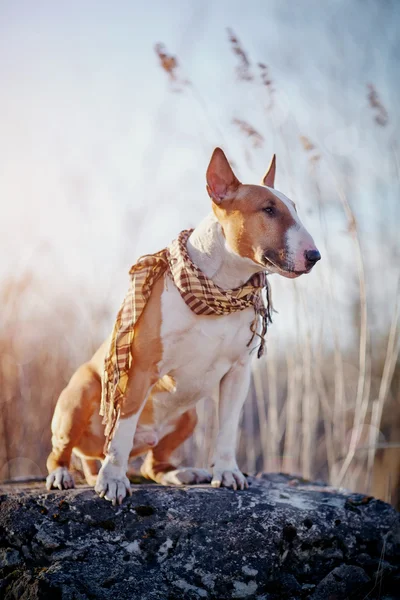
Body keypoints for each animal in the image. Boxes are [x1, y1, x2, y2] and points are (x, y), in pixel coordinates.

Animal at [46, 149, 322, 502]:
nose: (314, 256)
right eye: (269, 209)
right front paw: (113, 480)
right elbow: (121, 430)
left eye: (294, 209)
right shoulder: (138, 370)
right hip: (79, 396)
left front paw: (227, 473)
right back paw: (63, 474)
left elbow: (227, 429)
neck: (220, 287)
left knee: (154, 464)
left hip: (189, 416)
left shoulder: (238, 373)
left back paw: (182, 472)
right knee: (62, 451)